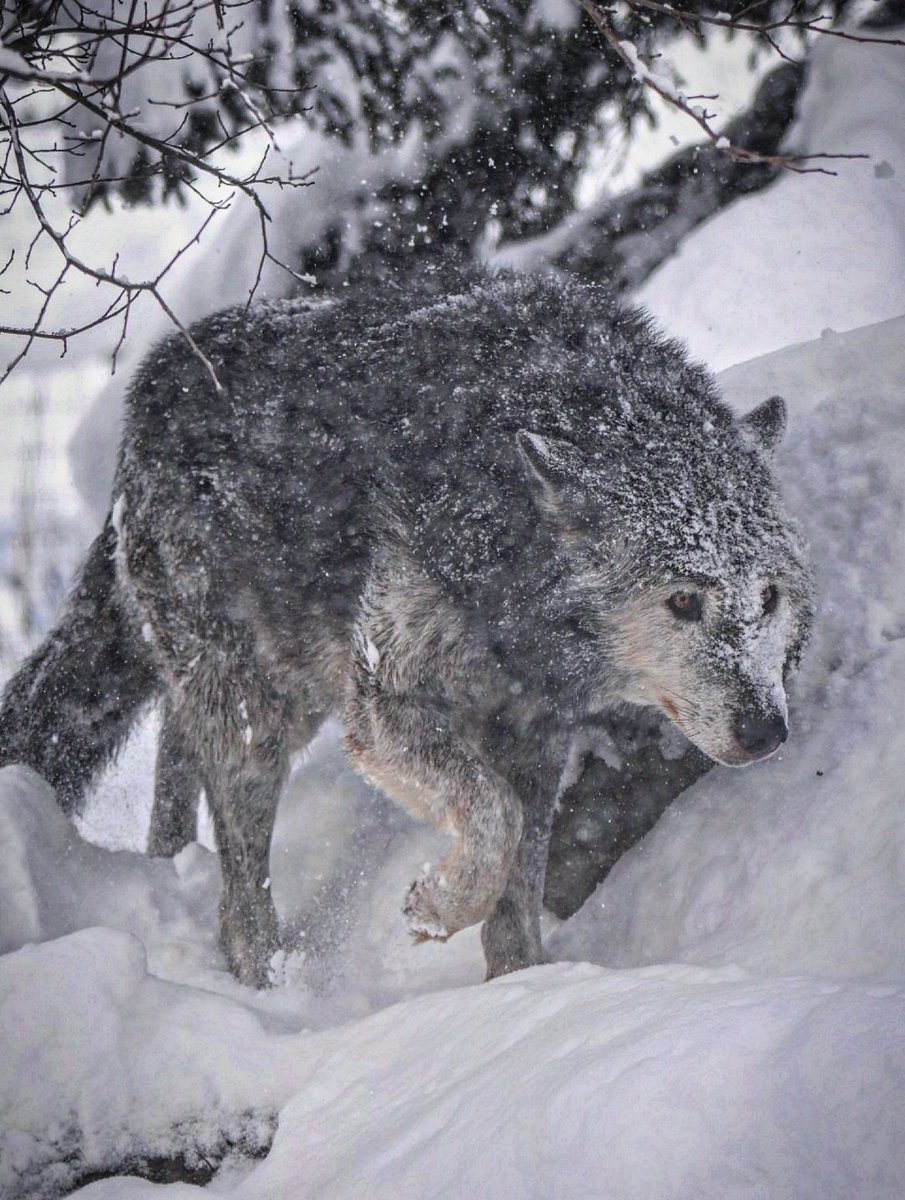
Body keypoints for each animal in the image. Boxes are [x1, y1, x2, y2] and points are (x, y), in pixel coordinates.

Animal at [0, 271, 813, 986]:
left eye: (768, 596)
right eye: (682, 602)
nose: (766, 731)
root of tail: (149, 387)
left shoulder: (533, 731)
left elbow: (518, 883)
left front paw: (523, 991)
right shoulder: (383, 703)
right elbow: (493, 815)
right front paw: (439, 908)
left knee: (178, 769)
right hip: (260, 718)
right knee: (240, 900)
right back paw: (265, 991)